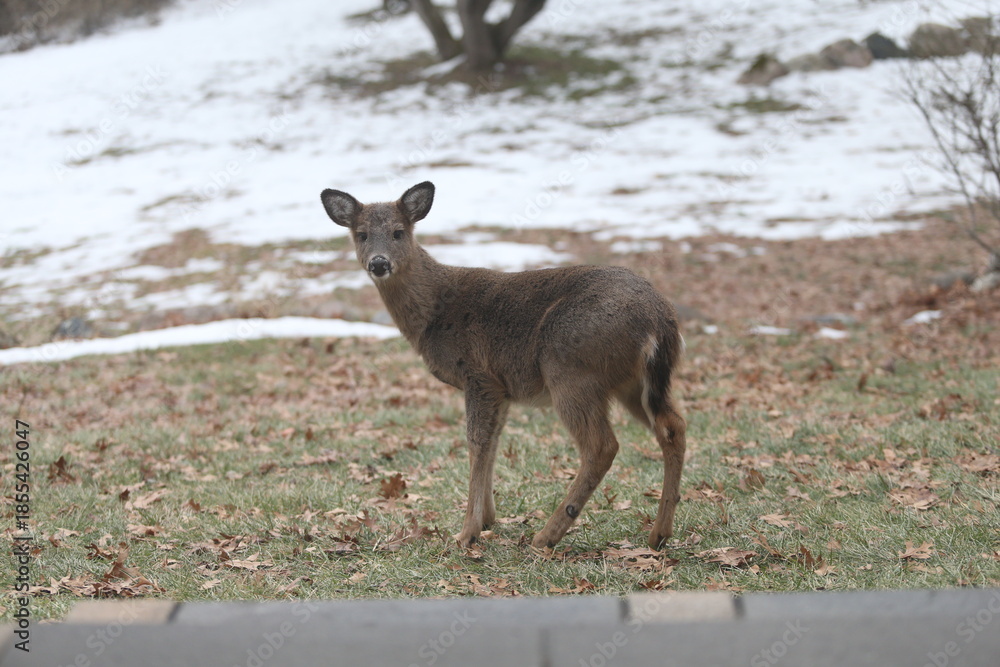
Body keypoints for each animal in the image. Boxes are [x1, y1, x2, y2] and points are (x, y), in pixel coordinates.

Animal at [319, 181, 687, 550]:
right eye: (362, 234)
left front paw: (467, 532)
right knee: (673, 426)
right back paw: (659, 533)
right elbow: (493, 441)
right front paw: (487, 519)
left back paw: (546, 536)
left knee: (602, 446)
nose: (379, 263)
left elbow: (476, 442)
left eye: (398, 231)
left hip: (571, 370)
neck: (436, 310)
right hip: (634, 382)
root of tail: (659, 319)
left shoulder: (478, 374)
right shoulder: (501, 387)